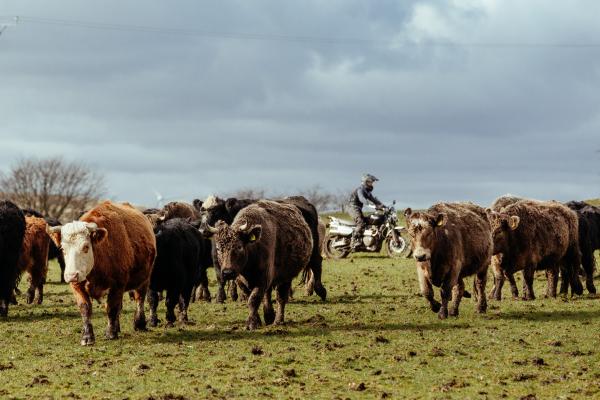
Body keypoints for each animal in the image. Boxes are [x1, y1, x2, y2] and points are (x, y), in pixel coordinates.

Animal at [48, 202, 156, 346]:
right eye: (63, 249)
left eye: (86, 247)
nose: (71, 275)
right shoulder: (77, 285)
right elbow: (85, 308)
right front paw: (87, 336)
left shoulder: (118, 284)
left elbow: (111, 307)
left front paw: (110, 333)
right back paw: (117, 327)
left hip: (144, 279)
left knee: (140, 299)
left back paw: (139, 323)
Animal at [207, 202, 314, 330]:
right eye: (218, 248)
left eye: (239, 246)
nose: (228, 272)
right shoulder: (241, 281)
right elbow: (250, 298)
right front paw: (257, 321)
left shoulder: (263, 279)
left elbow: (254, 299)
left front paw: (251, 323)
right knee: (267, 296)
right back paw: (269, 316)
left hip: (286, 278)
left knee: (281, 298)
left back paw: (278, 320)